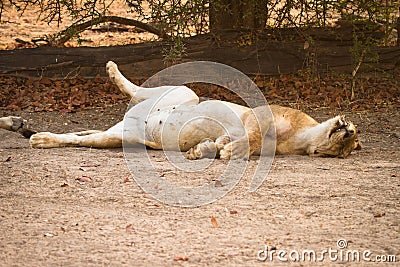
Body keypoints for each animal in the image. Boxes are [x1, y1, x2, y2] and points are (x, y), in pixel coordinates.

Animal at [0, 61, 360, 160]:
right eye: (353, 135)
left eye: (347, 149)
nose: (348, 134)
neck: (301, 139)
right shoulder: (260, 115)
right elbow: (251, 139)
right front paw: (230, 150)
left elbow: (223, 146)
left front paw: (206, 151)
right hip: (186, 93)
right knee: (135, 88)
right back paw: (112, 70)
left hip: (117, 138)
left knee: (79, 137)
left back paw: (36, 136)